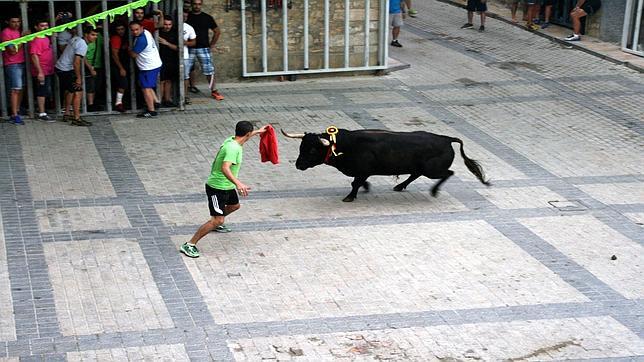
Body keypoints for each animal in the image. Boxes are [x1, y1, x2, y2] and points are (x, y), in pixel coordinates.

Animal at [280, 128, 488, 202]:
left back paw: (434, 191)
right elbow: (357, 181)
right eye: (301, 147)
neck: (345, 145)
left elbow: (355, 183)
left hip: (432, 170)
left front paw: (350, 197)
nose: (298, 165)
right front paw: (364, 188)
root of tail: (445, 138)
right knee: (415, 174)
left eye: (312, 150)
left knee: (448, 173)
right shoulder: (360, 171)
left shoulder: (364, 170)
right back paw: (399, 186)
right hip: (421, 168)